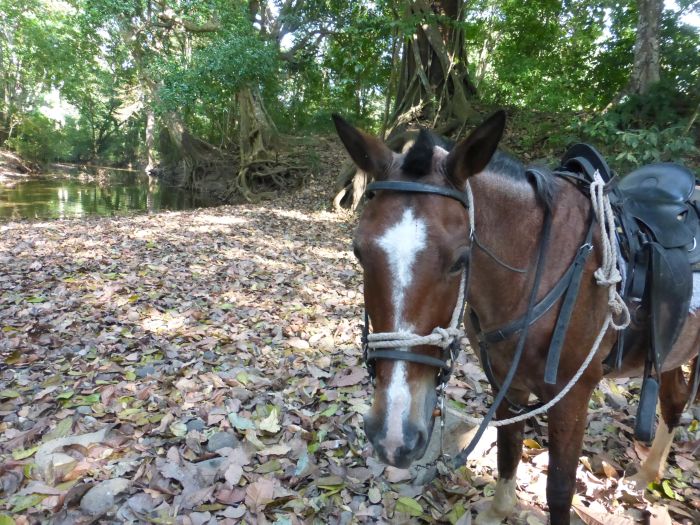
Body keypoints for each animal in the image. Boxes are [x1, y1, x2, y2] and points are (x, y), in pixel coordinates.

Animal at [334, 111, 700, 524]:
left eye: (460, 260)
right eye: (359, 252)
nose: (393, 437)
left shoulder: (573, 396)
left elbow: (559, 490)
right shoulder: (507, 383)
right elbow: (508, 453)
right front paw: (499, 511)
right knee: (673, 401)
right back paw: (646, 475)